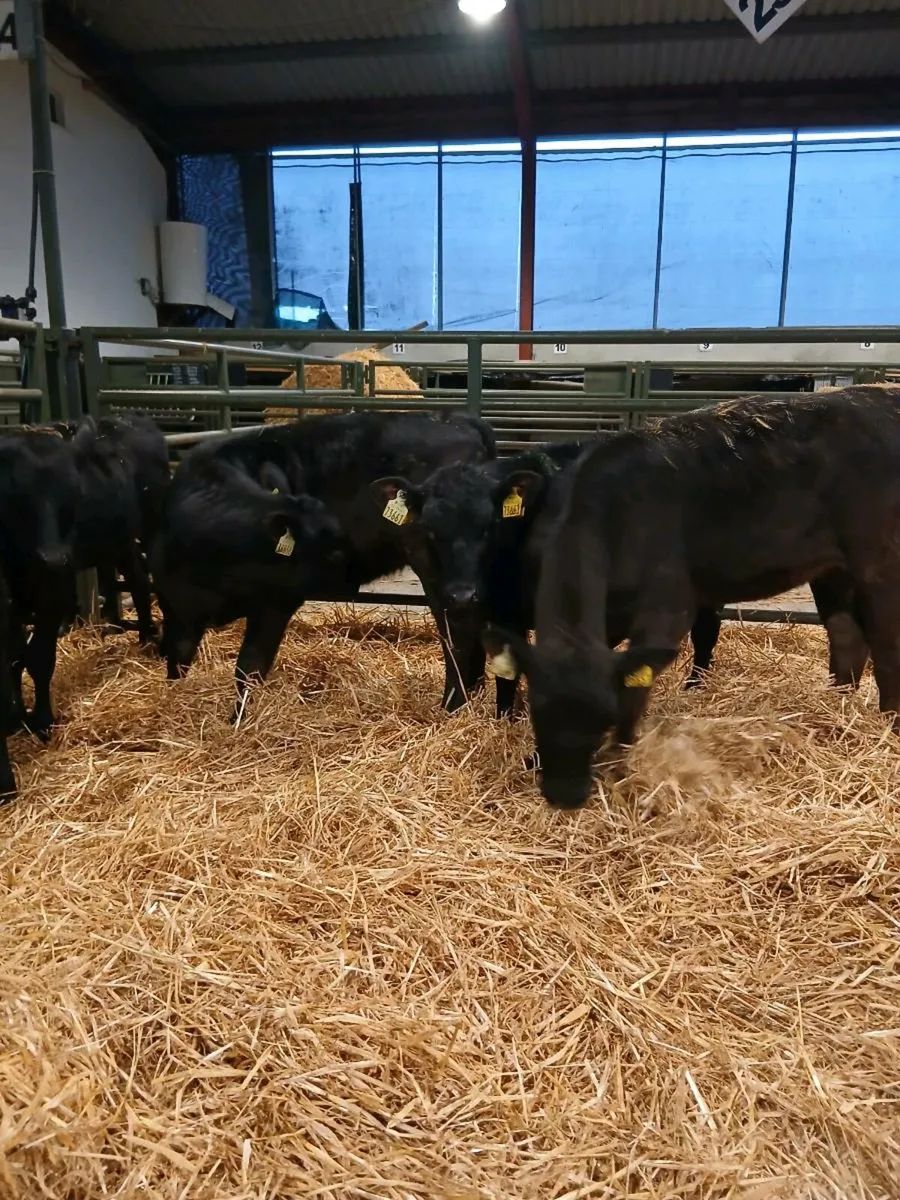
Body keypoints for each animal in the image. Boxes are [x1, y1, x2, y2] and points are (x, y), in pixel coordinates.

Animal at [0, 428, 80, 741]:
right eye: (19, 498)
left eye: (71, 494)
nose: (55, 558)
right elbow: (13, 659)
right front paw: (16, 717)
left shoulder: (55, 596)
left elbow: (40, 659)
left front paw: (43, 720)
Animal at [154, 410, 496, 718]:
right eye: (329, 549)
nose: (348, 573)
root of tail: (455, 418)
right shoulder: (176, 609)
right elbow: (179, 660)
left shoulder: (275, 603)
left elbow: (249, 667)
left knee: (457, 634)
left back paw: (451, 706)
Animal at [375, 438, 867, 717]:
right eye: (431, 530)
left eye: (489, 526)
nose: (464, 592)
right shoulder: (446, 602)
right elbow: (459, 658)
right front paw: (454, 709)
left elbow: (505, 675)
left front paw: (505, 718)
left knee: (708, 633)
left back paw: (695, 688)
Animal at [483, 387, 896, 809]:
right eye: (538, 714)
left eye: (603, 718)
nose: (565, 795)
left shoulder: (670, 607)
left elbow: (636, 686)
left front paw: (620, 755)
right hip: (832, 568)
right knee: (847, 636)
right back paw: (837, 709)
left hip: (880, 560)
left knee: (886, 646)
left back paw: (889, 723)